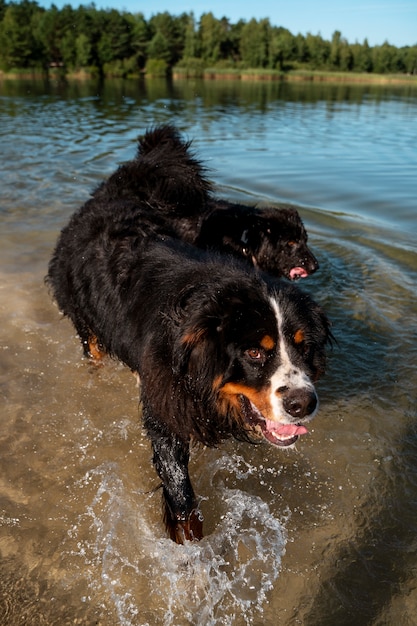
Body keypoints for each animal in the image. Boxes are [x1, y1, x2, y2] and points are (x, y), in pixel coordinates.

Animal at [46, 191, 332, 540]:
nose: (303, 403)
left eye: (304, 347)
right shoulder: (167, 403)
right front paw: (191, 547)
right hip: (88, 326)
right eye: (254, 352)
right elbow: (180, 492)